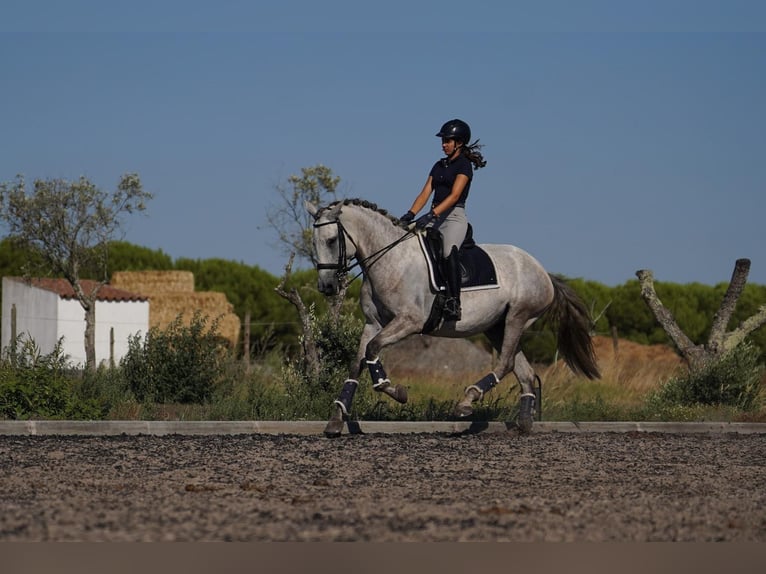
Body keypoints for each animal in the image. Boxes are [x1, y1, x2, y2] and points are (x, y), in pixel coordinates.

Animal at [306, 197, 600, 436]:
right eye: (314, 243)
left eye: (332, 241)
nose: (327, 287)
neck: (390, 260)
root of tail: (542, 272)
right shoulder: (373, 323)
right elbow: (358, 362)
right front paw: (336, 419)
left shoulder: (409, 322)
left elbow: (372, 350)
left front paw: (395, 391)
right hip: (497, 326)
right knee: (525, 373)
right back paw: (524, 424)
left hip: (518, 317)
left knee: (505, 363)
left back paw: (466, 401)